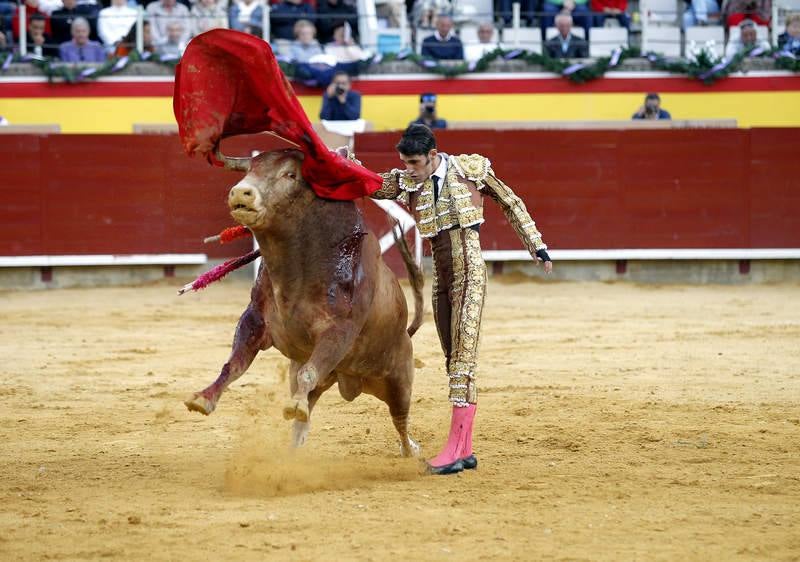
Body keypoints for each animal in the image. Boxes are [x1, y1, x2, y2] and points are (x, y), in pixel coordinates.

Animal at [184, 148, 424, 456]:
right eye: (249, 170)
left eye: (290, 174)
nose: (241, 192)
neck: (296, 271)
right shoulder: (254, 321)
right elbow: (233, 365)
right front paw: (203, 398)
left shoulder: (339, 330)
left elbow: (309, 372)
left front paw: (294, 405)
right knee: (305, 417)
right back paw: (291, 453)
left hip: (398, 381)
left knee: (400, 420)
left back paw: (411, 452)